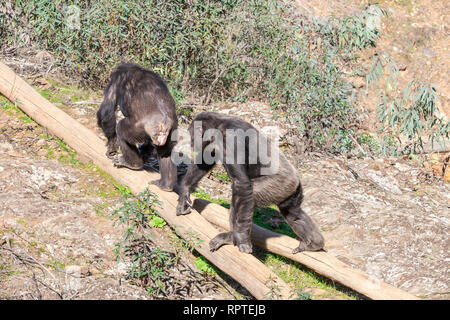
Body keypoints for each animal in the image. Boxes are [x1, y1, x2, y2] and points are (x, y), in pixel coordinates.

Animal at [96, 63, 178, 191]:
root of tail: (163, 122)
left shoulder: (116, 79)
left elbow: (107, 110)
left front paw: (112, 146)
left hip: (136, 128)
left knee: (121, 129)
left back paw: (132, 164)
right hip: (171, 132)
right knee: (165, 152)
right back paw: (166, 185)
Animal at [176, 112, 324, 255]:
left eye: (191, 133)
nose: (191, 142)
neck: (218, 125)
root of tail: (296, 177)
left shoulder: (230, 140)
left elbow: (241, 182)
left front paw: (242, 239)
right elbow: (204, 162)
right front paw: (184, 192)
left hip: (279, 184)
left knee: (246, 194)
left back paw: (232, 237)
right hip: (291, 190)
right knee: (293, 213)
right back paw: (314, 244)